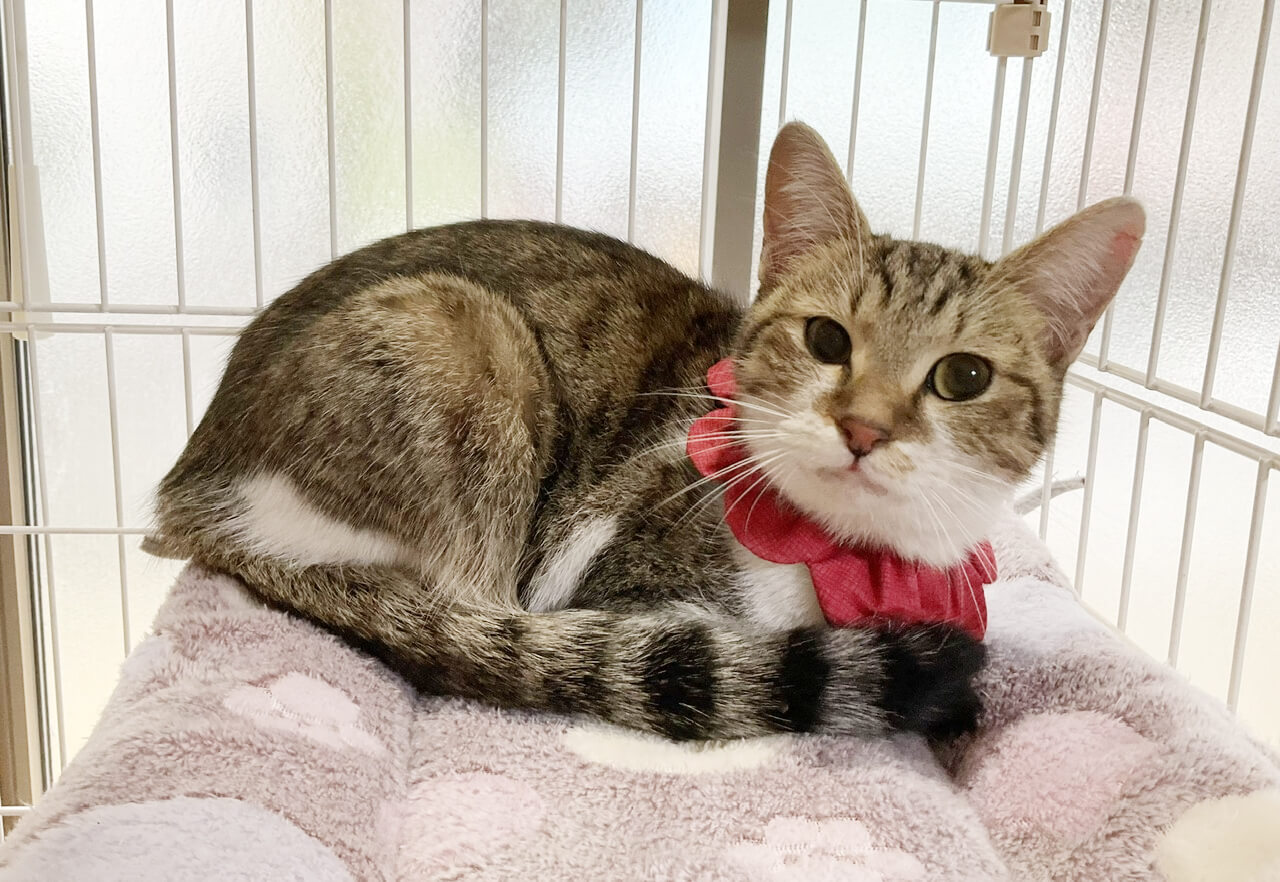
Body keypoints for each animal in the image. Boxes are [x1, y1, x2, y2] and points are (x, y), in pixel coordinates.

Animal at [146, 123, 1143, 741]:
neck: (851, 566)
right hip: (462, 340)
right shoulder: (600, 573)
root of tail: (194, 488)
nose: (863, 428)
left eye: (963, 377)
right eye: (827, 339)